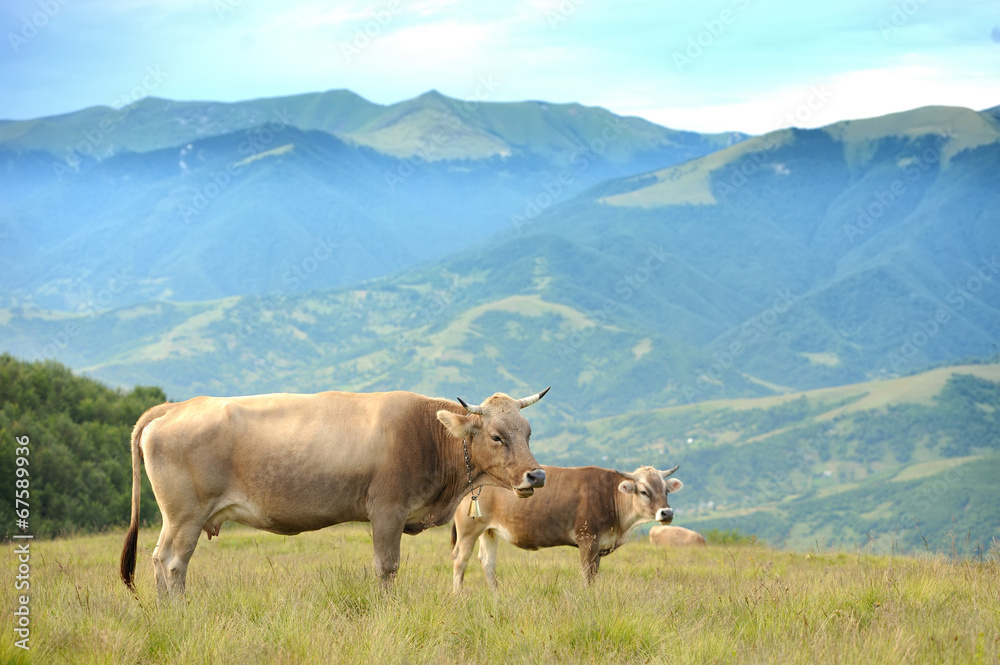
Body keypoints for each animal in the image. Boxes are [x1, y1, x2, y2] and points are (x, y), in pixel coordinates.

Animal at [123, 386, 556, 592]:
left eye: (528, 432)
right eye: (497, 436)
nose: (537, 476)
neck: (426, 432)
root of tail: (176, 406)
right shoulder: (387, 511)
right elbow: (387, 568)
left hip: (174, 519)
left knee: (158, 560)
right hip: (186, 516)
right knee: (174, 564)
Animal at [452, 462, 680, 588]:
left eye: (666, 490)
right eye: (643, 491)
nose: (667, 513)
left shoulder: (598, 544)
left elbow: (595, 573)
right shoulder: (587, 538)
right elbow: (588, 575)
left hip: (489, 531)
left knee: (487, 562)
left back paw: (496, 596)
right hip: (468, 530)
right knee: (460, 561)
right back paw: (459, 596)